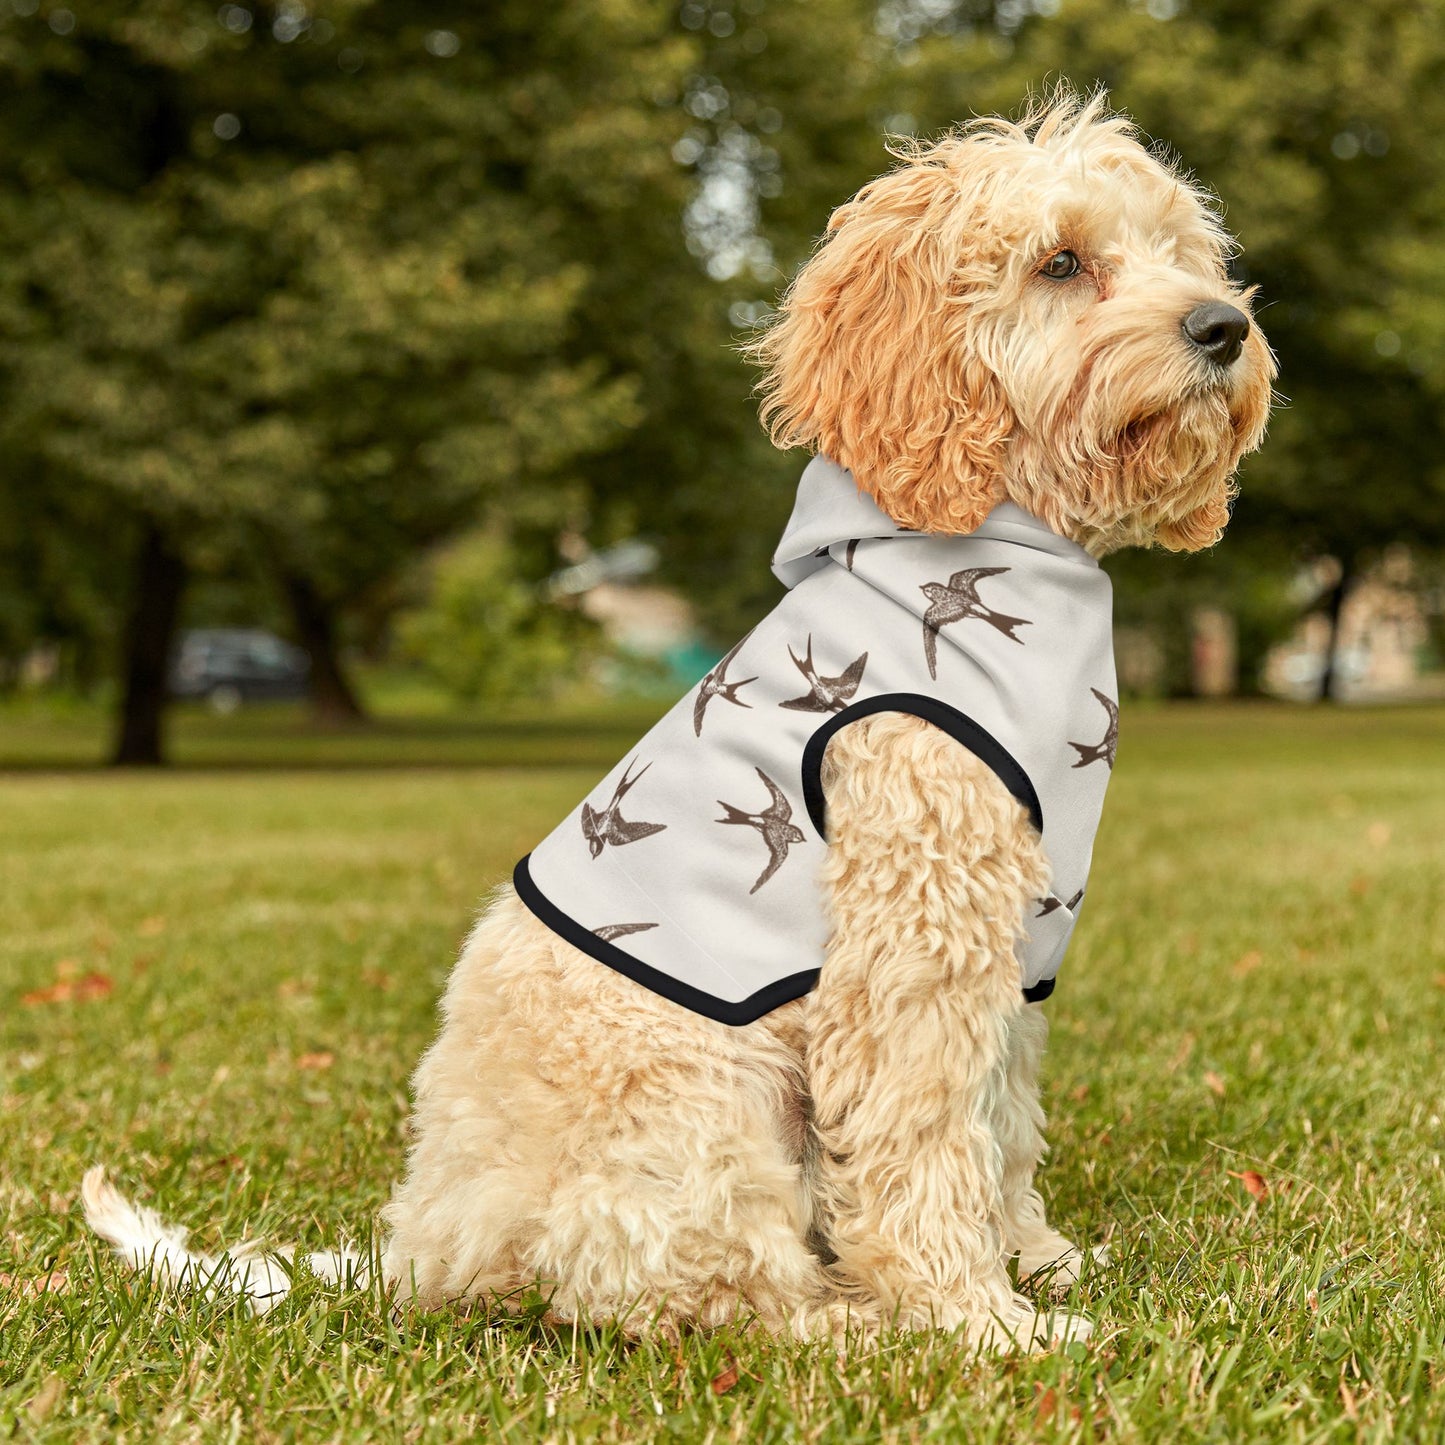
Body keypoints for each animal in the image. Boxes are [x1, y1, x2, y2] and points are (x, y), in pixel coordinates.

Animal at [84, 93, 1271, 1352]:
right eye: (1059, 262)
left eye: (1180, 252)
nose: (1222, 327)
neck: (998, 548)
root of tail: (424, 1246)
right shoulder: (912, 940)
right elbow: (922, 1138)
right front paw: (976, 1318)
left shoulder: (1014, 945)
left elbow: (998, 1121)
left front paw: (1035, 1260)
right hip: (702, 1100)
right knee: (702, 1291)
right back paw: (852, 1322)